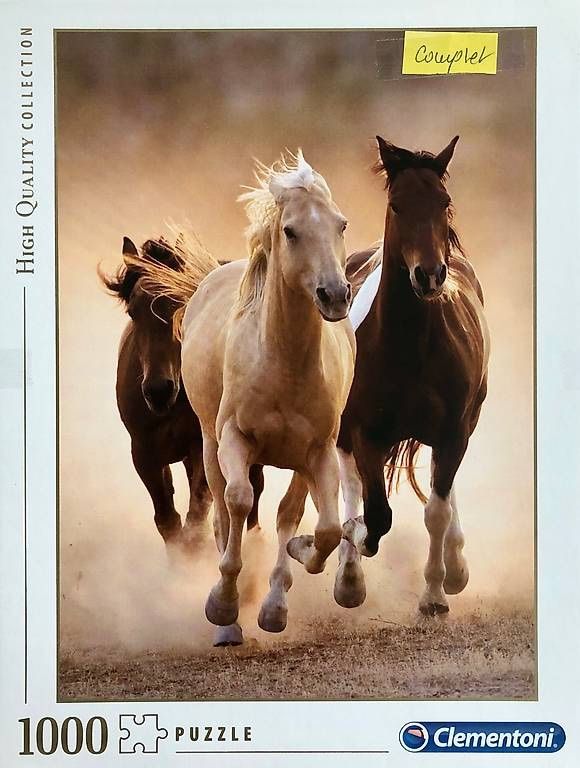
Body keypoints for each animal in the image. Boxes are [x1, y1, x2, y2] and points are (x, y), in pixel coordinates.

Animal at [99, 236, 264, 590]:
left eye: (181, 307)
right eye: (133, 311)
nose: (159, 390)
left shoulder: (200, 447)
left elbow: (196, 517)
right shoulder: (144, 452)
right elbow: (168, 520)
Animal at [134, 152, 355, 642]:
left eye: (341, 224)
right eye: (290, 230)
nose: (334, 295)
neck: (282, 363)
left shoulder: (319, 451)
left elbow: (324, 529)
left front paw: (294, 565)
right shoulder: (234, 439)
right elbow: (237, 503)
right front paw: (222, 604)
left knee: (289, 512)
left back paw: (273, 603)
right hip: (208, 445)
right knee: (222, 509)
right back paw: (229, 623)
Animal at [337, 135, 490, 617]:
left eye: (444, 202)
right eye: (397, 205)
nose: (429, 275)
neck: (412, 348)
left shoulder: (454, 431)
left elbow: (436, 510)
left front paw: (436, 594)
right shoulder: (365, 432)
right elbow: (375, 515)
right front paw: (353, 540)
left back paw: (455, 568)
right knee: (350, 483)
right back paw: (347, 576)